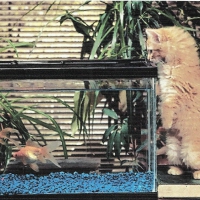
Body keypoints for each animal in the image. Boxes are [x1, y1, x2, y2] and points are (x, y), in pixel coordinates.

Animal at [145, 26, 200, 178]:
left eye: (150, 50)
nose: (147, 59)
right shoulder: (164, 89)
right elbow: (162, 103)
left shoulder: (175, 95)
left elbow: (166, 108)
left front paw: (167, 124)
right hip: (173, 147)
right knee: (180, 162)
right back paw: (175, 170)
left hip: (191, 152)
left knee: (192, 164)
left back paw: (197, 173)